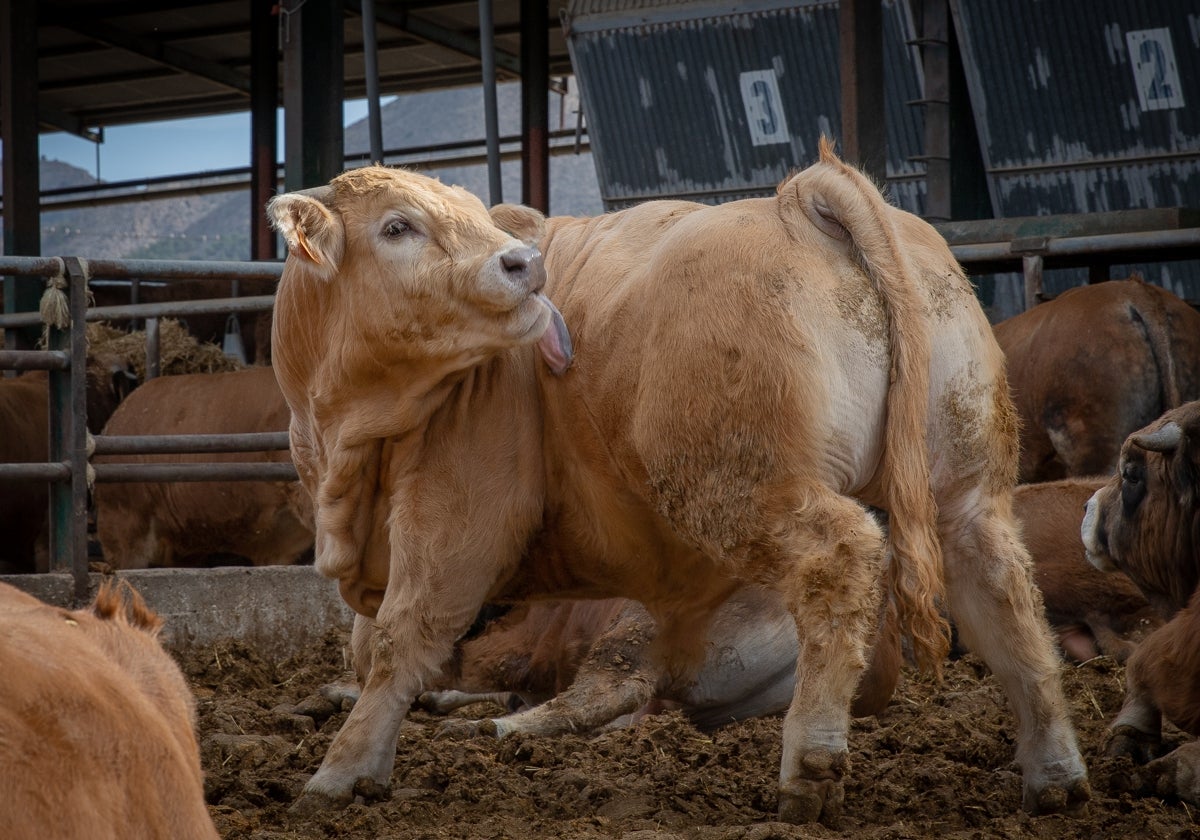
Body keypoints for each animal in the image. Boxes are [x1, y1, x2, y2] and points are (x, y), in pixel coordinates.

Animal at [270, 141, 1089, 825]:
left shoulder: (456, 515)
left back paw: (811, 763)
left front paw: (341, 775)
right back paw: (1053, 771)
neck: (345, 444)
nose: (521, 265)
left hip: (738, 491)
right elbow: (368, 647)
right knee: (1004, 593)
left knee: (843, 560)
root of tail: (800, 197)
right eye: (397, 226)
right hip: (964, 493)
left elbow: (398, 640)